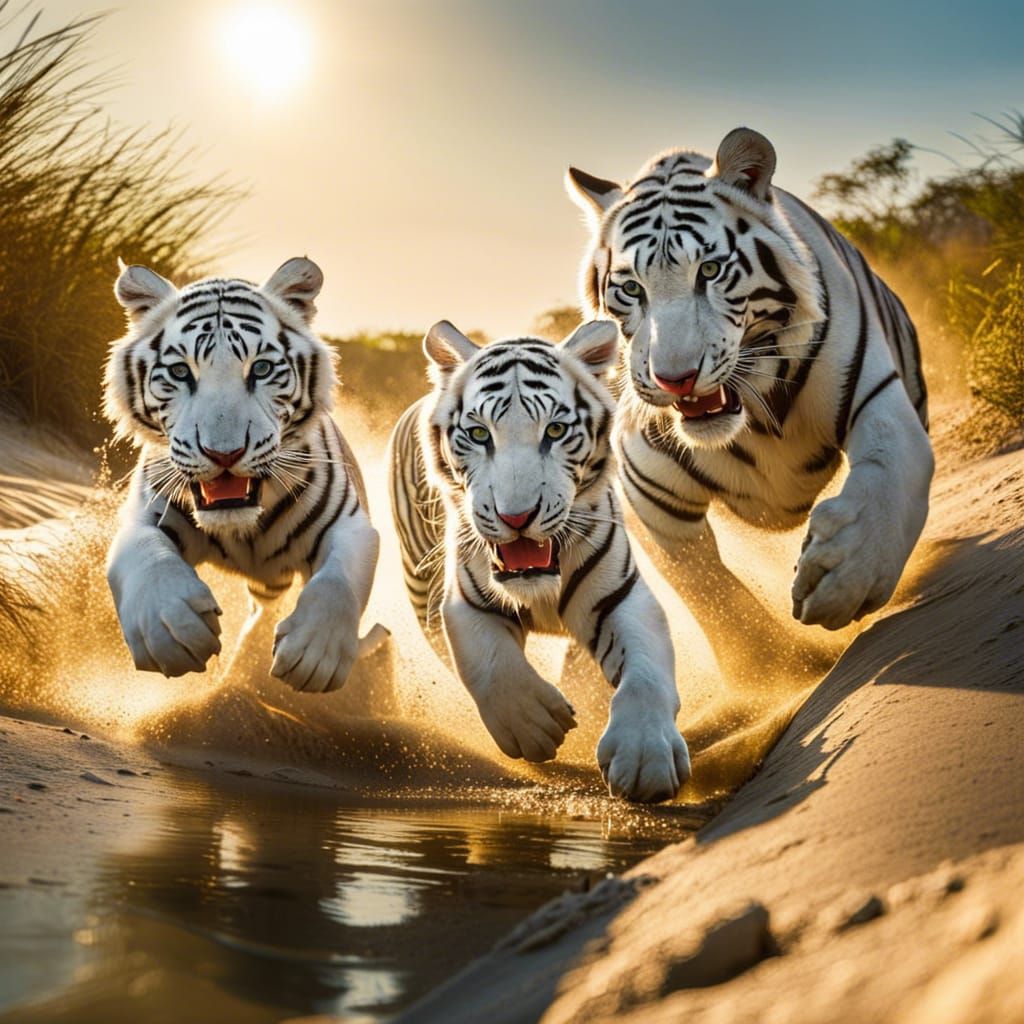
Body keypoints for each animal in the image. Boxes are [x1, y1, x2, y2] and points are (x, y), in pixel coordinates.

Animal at [103, 257, 379, 693]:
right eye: (180, 372)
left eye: (261, 369)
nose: (224, 453)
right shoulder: (143, 515)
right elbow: (147, 558)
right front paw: (171, 631)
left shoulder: (352, 527)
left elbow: (338, 583)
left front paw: (314, 654)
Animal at [388, 318, 690, 803]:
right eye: (479, 434)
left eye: (555, 431)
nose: (516, 516)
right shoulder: (465, 602)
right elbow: (493, 666)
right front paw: (534, 726)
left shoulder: (622, 598)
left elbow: (646, 675)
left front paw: (646, 757)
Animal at [565, 127, 933, 676]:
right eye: (631, 288)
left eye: (711, 270)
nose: (675, 379)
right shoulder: (650, 494)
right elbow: (712, 595)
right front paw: (773, 673)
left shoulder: (877, 397)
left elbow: (890, 477)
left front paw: (843, 580)